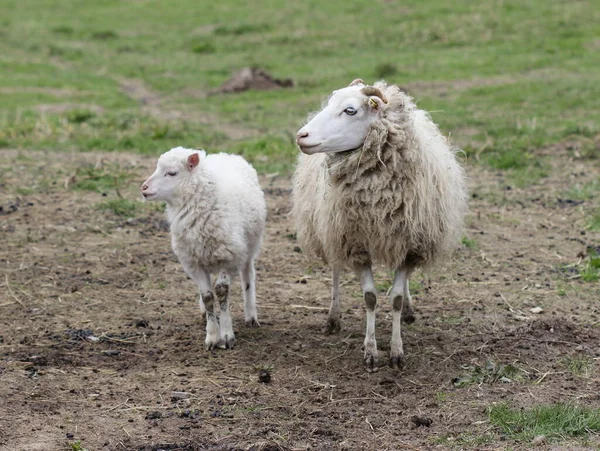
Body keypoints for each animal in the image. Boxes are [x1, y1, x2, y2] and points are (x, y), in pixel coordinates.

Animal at [142, 147, 266, 352]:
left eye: (172, 173)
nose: (143, 188)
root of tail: (226, 154)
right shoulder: (193, 263)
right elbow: (208, 296)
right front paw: (212, 336)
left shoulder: (229, 257)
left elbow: (222, 292)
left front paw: (227, 335)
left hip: (249, 246)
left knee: (248, 276)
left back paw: (251, 315)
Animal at [290, 79, 468, 372]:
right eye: (331, 103)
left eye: (350, 110)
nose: (301, 136)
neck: (378, 199)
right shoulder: (356, 244)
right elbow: (370, 298)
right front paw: (371, 352)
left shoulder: (410, 245)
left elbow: (395, 298)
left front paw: (396, 351)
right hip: (331, 229)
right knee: (336, 272)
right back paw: (333, 318)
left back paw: (408, 311)